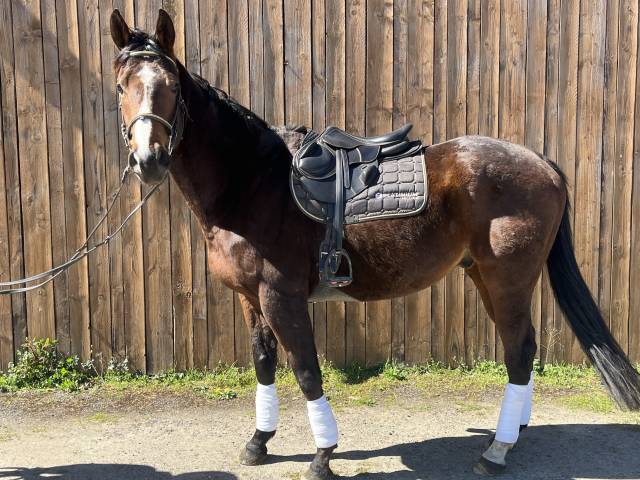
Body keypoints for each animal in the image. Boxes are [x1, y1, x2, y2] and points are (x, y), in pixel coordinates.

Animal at [109, 9, 640, 479]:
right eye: (121, 86)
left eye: (172, 87)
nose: (148, 160)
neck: (253, 181)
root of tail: (542, 163)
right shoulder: (250, 298)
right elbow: (264, 365)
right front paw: (259, 442)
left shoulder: (281, 297)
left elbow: (305, 369)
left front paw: (323, 455)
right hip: (485, 276)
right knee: (522, 351)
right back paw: (510, 432)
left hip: (508, 279)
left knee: (519, 348)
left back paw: (497, 450)